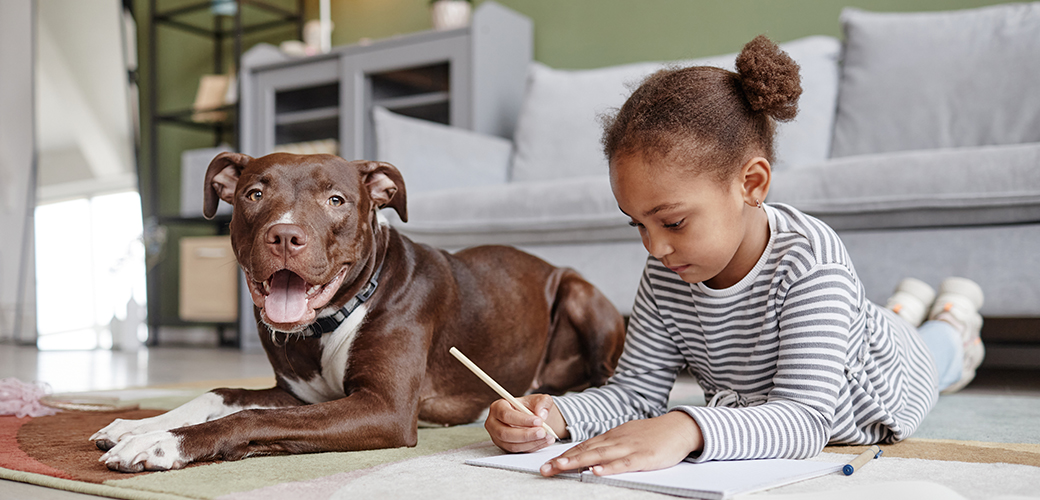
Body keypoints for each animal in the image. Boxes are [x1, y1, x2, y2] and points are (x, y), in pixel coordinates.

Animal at [89, 152, 619, 471]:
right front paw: (134, 426)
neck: (330, 321)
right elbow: (220, 394)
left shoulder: (384, 408)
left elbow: (248, 419)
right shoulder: (297, 395)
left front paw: (161, 443)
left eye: (336, 199)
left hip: (578, 292)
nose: (285, 235)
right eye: (253, 194)